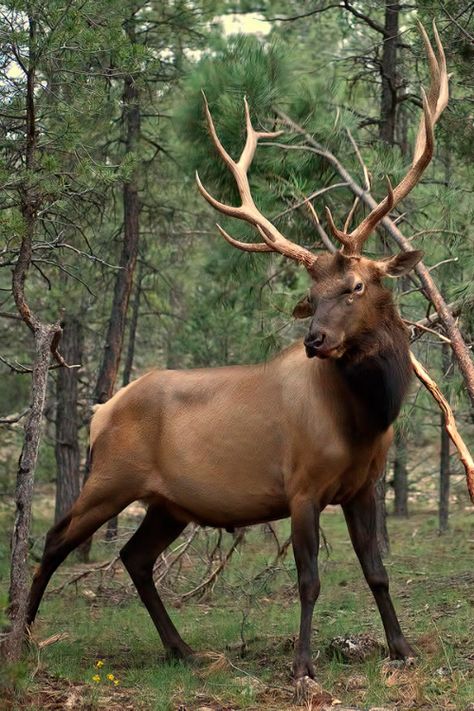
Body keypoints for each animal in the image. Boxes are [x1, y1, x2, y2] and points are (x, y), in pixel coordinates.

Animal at [26, 25, 448, 684]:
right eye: (311, 296)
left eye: (355, 286)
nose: (315, 340)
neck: (367, 417)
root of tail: (101, 410)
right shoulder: (301, 486)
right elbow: (309, 580)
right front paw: (302, 663)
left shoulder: (365, 487)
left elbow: (377, 571)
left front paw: (401, 649)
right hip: (109, 475)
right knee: (54, 539)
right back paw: (22, 634)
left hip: (169, 502)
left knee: (133, 555)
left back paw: (181, 648)